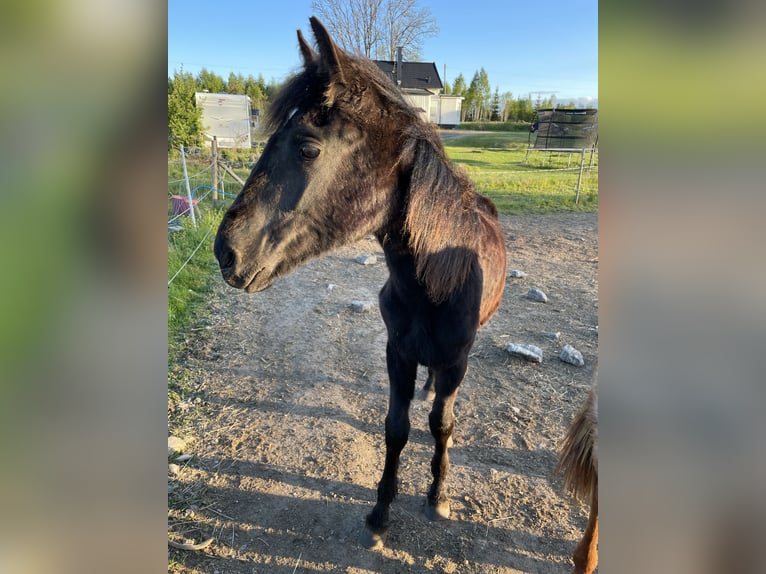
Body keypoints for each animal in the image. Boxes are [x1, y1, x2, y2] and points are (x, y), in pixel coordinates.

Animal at [213, 17, 507, 548]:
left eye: (308, 147)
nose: (225, 251)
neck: (433, 284)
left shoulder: (457, 361)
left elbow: (442, 425)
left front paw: (438, 495)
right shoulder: (398, 353)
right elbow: (396, 428)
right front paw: (381, 511)